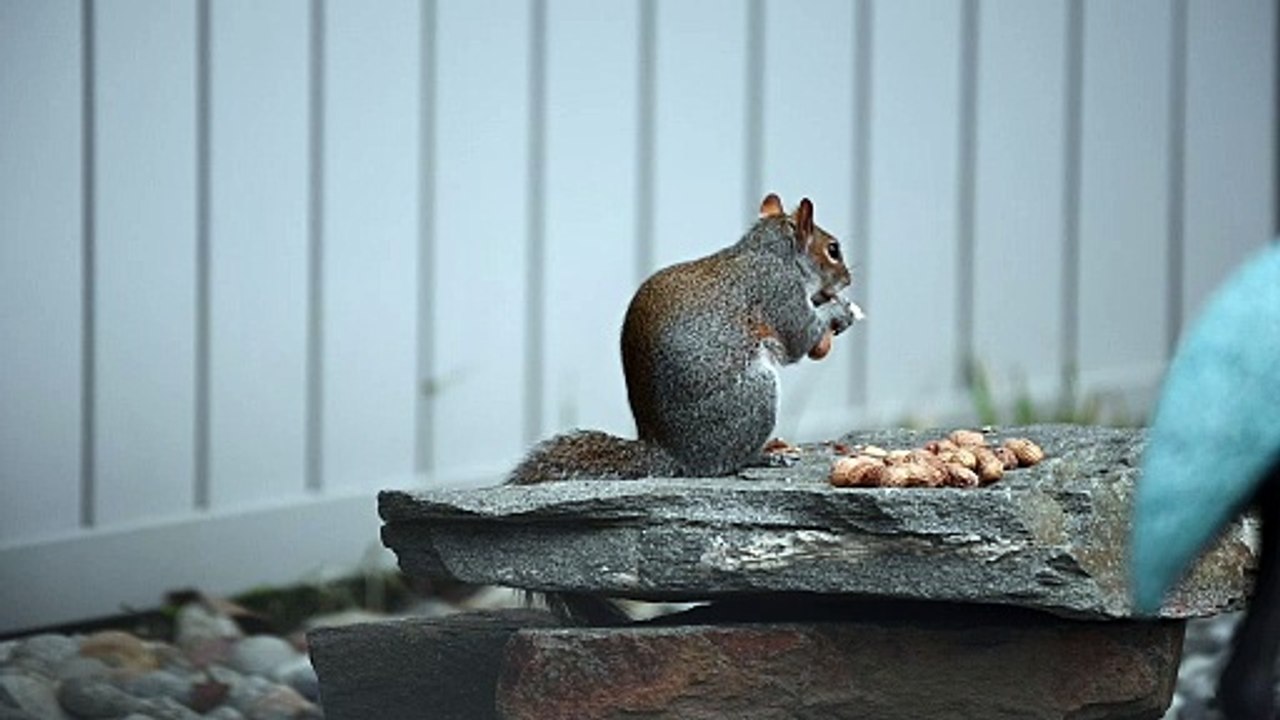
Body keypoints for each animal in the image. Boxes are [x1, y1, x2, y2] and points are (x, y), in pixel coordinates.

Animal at [509, 193, 862, 486]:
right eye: (833, 250)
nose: (848, 278)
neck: (772, 251)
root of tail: (672, 452)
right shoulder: (779, 291)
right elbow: (799, 337)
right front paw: (839, 313)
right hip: (755, 395)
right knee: (725, 462)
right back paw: (764, 455)